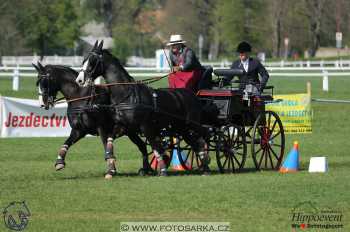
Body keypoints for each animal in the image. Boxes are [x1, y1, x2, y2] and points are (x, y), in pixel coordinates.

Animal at [75, 41, 209, 176]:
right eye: (84, 60)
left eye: (92, 61)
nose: (79, 80)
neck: (127, 95)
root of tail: (192, 95)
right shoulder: (125, 127)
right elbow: (110, 140)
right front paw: (110, 166)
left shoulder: (146, 127)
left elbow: (156, 148)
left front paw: (162, 170)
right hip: (182, 128)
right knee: (195, 144)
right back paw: (203, 167)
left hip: (192, 124)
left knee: (203, 138)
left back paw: (206, 166)